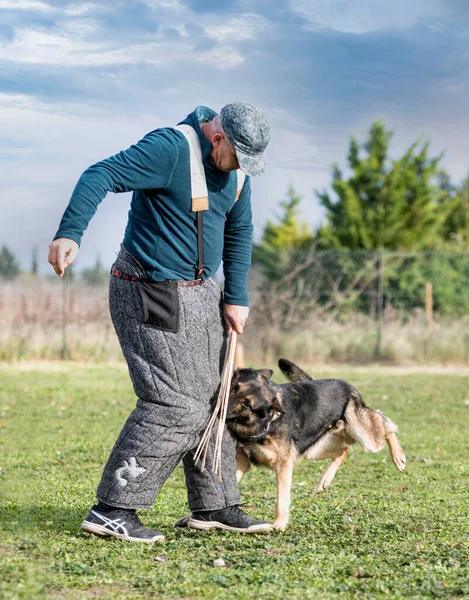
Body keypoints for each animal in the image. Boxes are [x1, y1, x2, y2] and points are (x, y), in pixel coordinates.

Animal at [225, 358, 404, 528]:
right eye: (233, 387)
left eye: (246, 404)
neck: (264, 420)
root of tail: (347, 386)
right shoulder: (241, 463)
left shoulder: (283, 465)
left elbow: (282, 498)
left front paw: (279, 524)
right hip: (312, 451)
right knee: (343, 450)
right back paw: (325, 481)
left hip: (364, 435)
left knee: (385, 424)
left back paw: (399, 457)